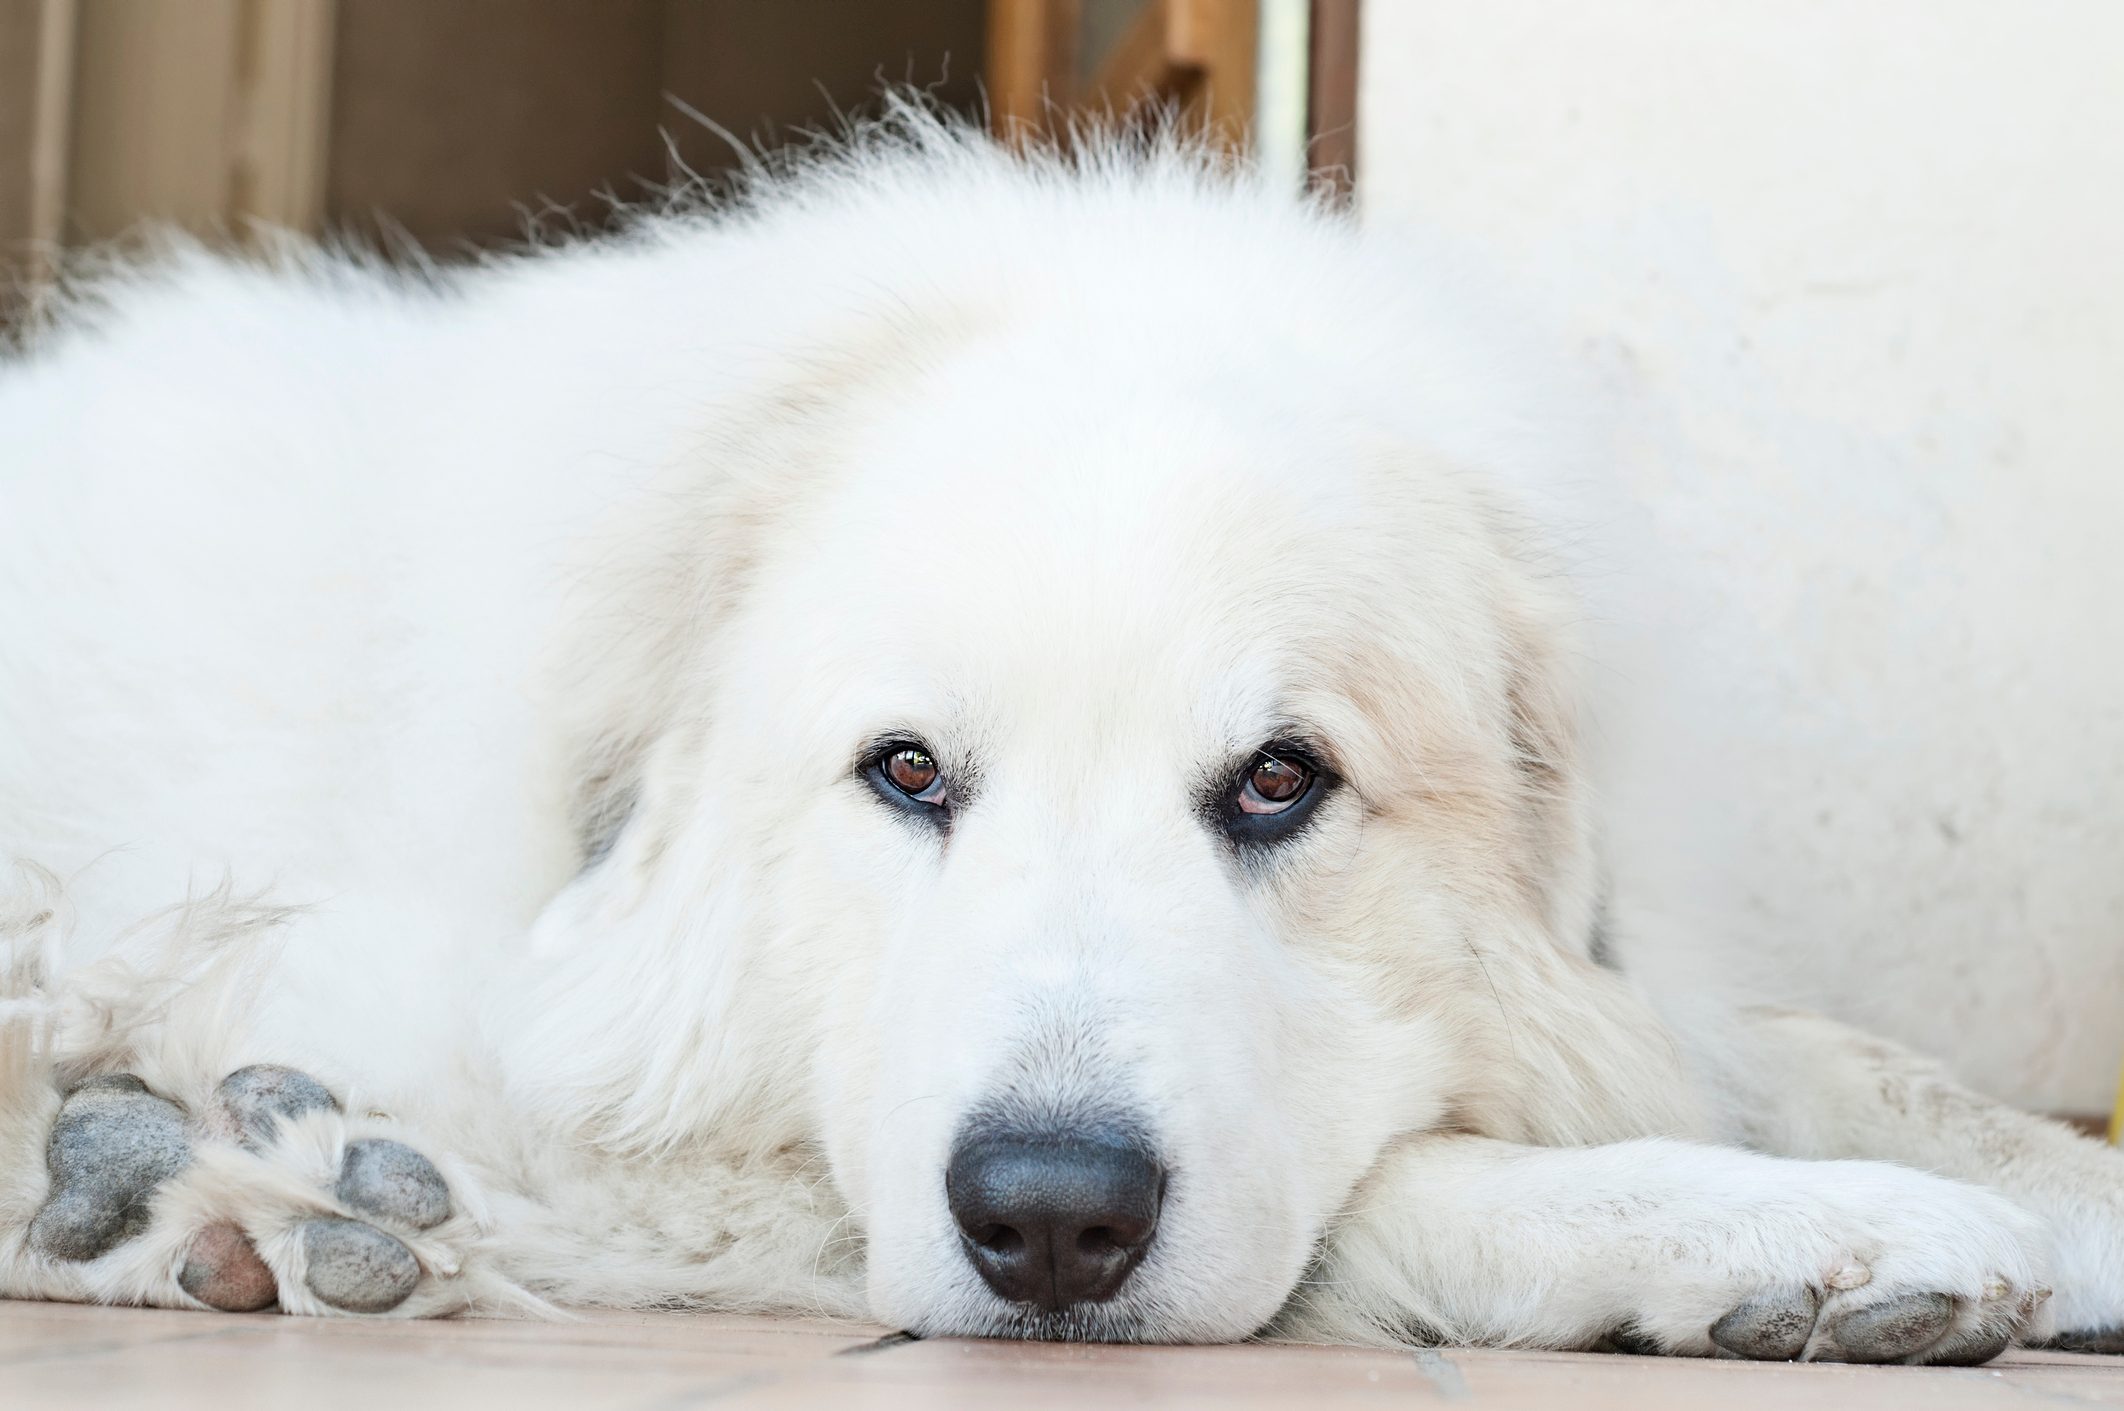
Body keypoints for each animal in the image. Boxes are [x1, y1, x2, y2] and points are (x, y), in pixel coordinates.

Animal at [4, 115, 2124, 1360]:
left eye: (1278, 779)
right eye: (905, 773)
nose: (1045, 1218)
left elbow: (1834, 1052)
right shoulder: (534, 1071)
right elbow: (1407, 1180)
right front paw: (1790, 1230)